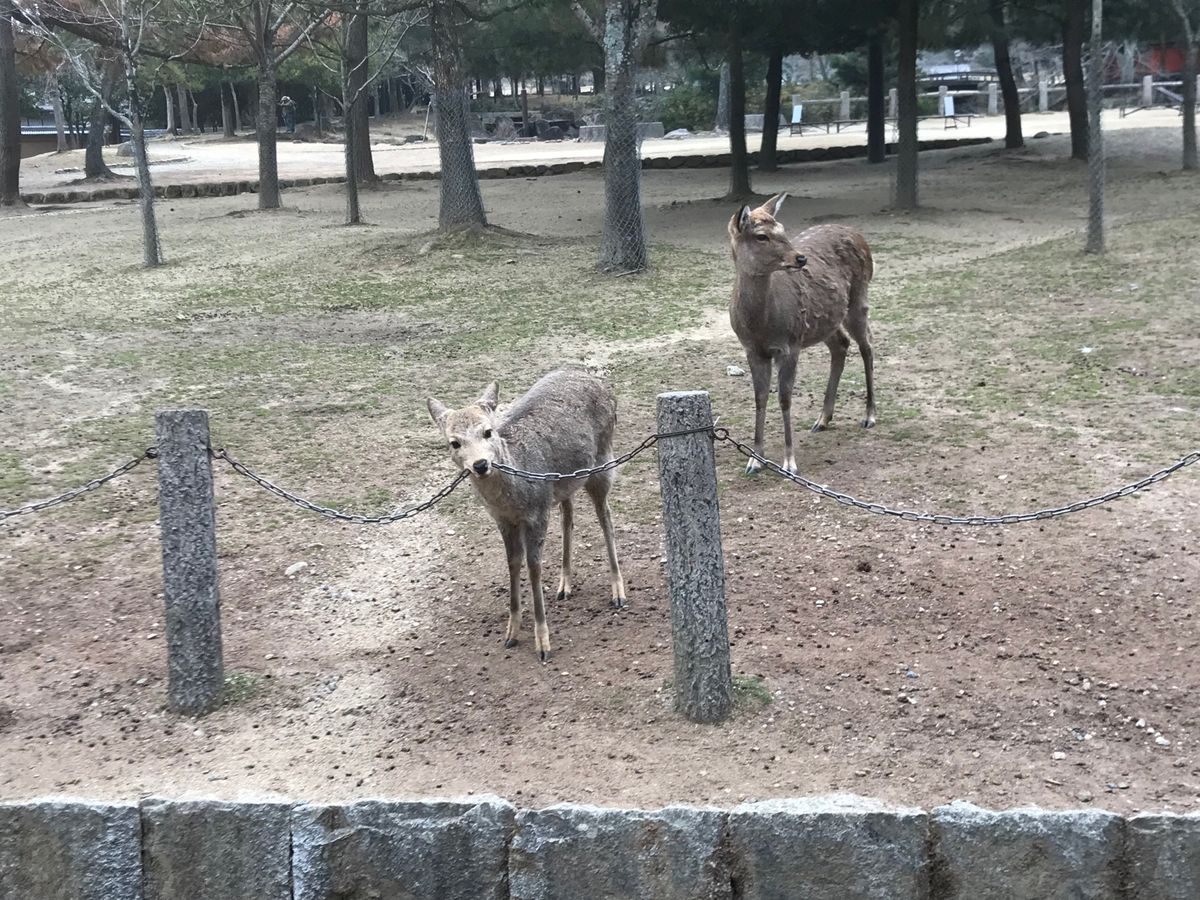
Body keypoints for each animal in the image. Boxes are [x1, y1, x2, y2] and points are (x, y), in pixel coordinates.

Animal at [427, 369, 627, 663]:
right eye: (454, 442)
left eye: (488, 431)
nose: (480, 465)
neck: (515, 497)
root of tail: (597, 381)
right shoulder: (503, 520)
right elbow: (512, 563)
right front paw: (510, 633)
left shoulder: (537, 512)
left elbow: (534, 567)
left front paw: (543, 643)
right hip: (563, 483)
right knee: (568, 514)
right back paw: (565, 585)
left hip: (603, 462)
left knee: (605, 516)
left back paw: (618, 592)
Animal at [727, 192, 876, 475]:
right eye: (761, 236)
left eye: (783, 228)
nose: (800, 258)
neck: (761, 325)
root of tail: (859, 235)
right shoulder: (752, 349)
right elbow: (760, 398)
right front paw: (754, 459)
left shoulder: (790, 344)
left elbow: (785, 399)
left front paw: (789, 462)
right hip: (825, 320)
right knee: (841, 344)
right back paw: (823, 419)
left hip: (858, 296)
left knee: (867, 346)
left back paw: (869, 415)